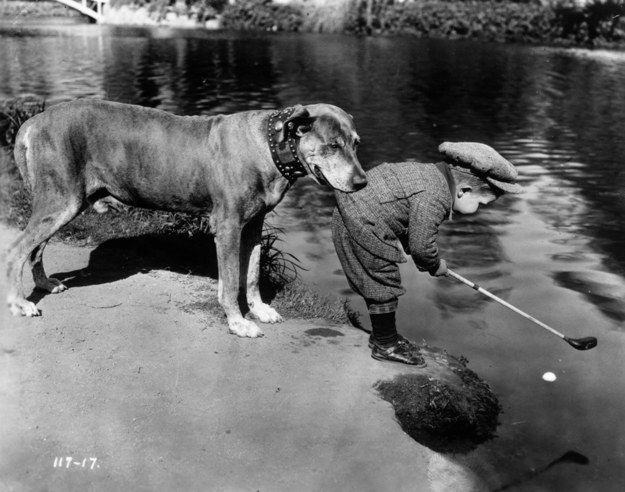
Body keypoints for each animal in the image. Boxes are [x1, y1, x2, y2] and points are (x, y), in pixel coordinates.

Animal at [4, 100, 366, 338]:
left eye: (356, 143)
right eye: (333, 145)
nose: (362, 182)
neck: (269, 145)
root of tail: (35, 121)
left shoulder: (253, 226)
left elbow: (250, 274)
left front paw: (260, 309)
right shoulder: (228, 227)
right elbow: (231, 280)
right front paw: (238, 322)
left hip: (64, 202)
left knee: (35, 248)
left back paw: (45, 283)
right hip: (61, 201)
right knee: (16, 250)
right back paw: (19, 303)